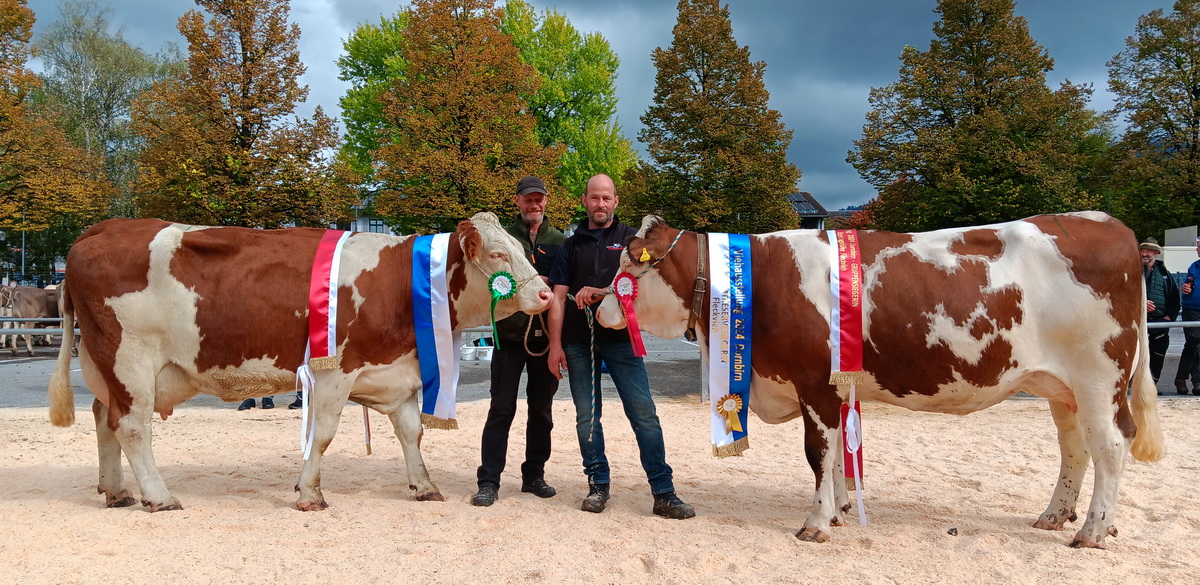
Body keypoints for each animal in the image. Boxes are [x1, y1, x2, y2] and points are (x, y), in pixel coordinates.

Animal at [45, 213, 552, 513]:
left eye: (522, 249)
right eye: (499, 254)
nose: (547, 293)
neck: (401, 285)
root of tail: (101, 228)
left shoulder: (396, 372)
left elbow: (412, 433)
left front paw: (424, 485)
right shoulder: (334, 371)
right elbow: (323, 434)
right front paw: (309, 492)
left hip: (107, 368)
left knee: (104, 419)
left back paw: (116, 491)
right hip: (129, 361)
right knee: (131, 427)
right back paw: (159, 496)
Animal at [597, 210, 1161, 549]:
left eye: (627, 262)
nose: (597, 306)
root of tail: (1108, 223)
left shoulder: (814, 383)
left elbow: (818, 453)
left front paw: (817, 523)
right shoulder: (835, 387)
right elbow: (837, 456)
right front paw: (840, 508)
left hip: (1099, 378)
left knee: (1111, 445)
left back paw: (1092, 530)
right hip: (1062, 388)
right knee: (1074, 448)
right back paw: (1055, 515)